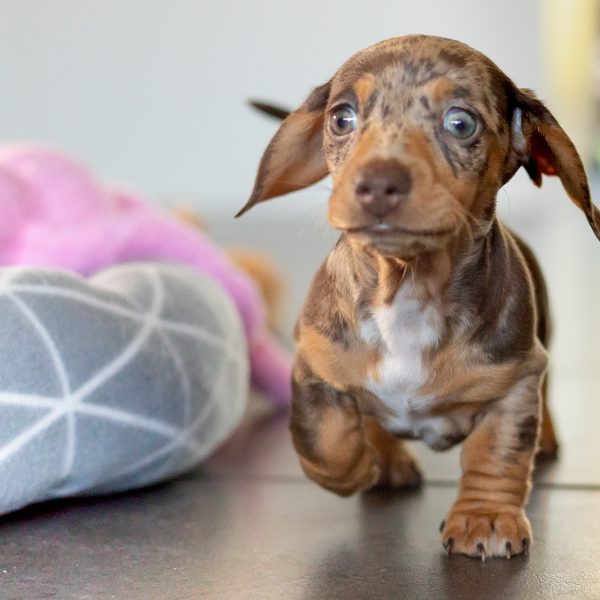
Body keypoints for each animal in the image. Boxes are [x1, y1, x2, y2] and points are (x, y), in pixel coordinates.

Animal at [237, 34, 596, 556]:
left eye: (460, 122)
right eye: (342, 118)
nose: (376, 184)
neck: (409, 287)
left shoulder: (513, 380)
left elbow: (497, 453)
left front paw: (485, 518)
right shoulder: (314, 365)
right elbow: (323, 439)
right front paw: (359, 468)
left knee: (543, 400)